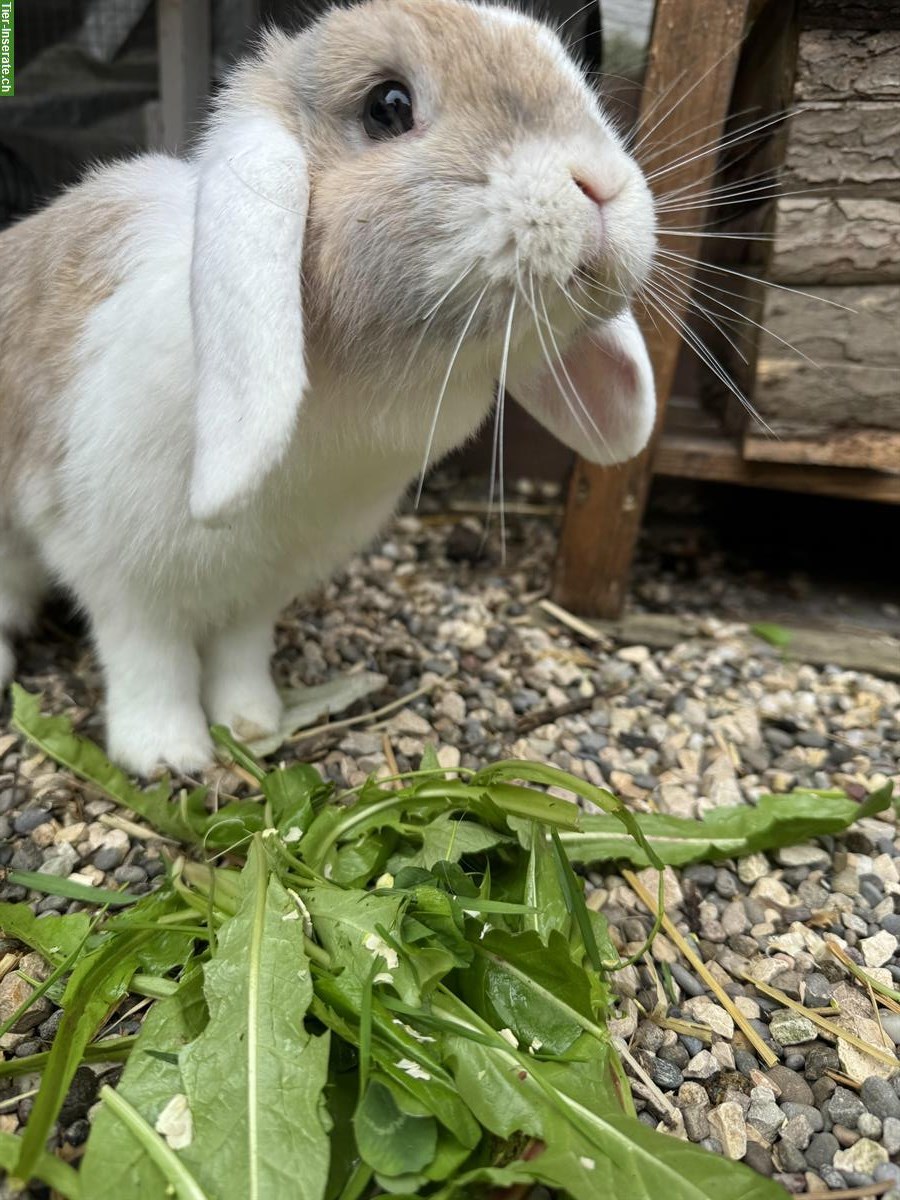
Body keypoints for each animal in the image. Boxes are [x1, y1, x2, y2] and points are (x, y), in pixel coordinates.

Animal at [0, 0, 657, 772]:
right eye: (388, 107)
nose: (600, 184)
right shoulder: (121, 575)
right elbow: (150, 662)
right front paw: (169, 755)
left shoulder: (260, 591)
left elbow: (239, 653)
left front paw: (252, 721)